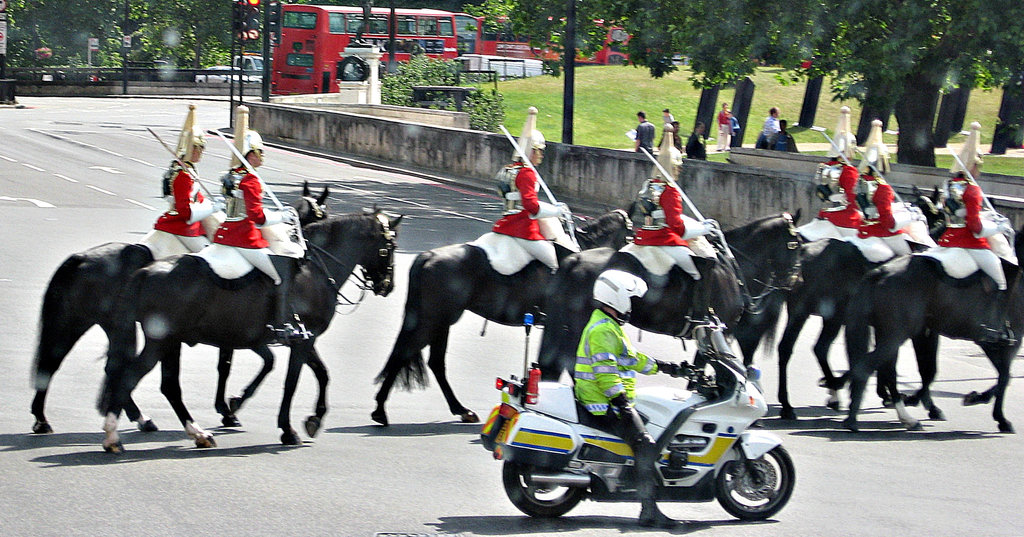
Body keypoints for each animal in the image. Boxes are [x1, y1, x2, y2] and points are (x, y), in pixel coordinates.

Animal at [32, 182, 329, 434]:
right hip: (88, 323)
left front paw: (230, 408)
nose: (303, 253)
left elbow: (244, 363)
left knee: (92, 364)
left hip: (100, 324)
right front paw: (229, 409)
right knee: (70, 362)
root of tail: (79, 257)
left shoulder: (241, 332)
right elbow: (232, 365)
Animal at [96, 210, 399, 452]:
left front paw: (313, 418)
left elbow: (321, 374)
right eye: (391, 246)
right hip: (161, 341)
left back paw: (197, 433)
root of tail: (146, 271)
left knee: (166, 385)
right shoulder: (301, 340)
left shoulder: (303, 339)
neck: (316, 270)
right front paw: (287, 429)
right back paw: (114, 436)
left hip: (171, 342)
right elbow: (292, 382)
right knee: (130, 377)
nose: (388, 286)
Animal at [376, 210, 630, 424]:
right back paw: (381, 410)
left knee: (433, 362)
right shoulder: (571, 327)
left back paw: (460, 410)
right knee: (407, 354)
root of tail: (428, 256)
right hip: (434, 320)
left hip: (440, 321)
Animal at [540, 214, 802, 381]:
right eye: (796, 244)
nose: (795, 281)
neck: (732, 268)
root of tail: (574, 259)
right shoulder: (717, 333)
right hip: (581, 326)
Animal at [843, 224, 1019, 434]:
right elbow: (1004, 377)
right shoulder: (993, 342)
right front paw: (996, 415)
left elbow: (1002, 376)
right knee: (868, 366)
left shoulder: (928, 333)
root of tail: (881, 271)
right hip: (895, 335)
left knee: (885, 370)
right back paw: (855, 419)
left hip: (888, 333)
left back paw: (901, 415)